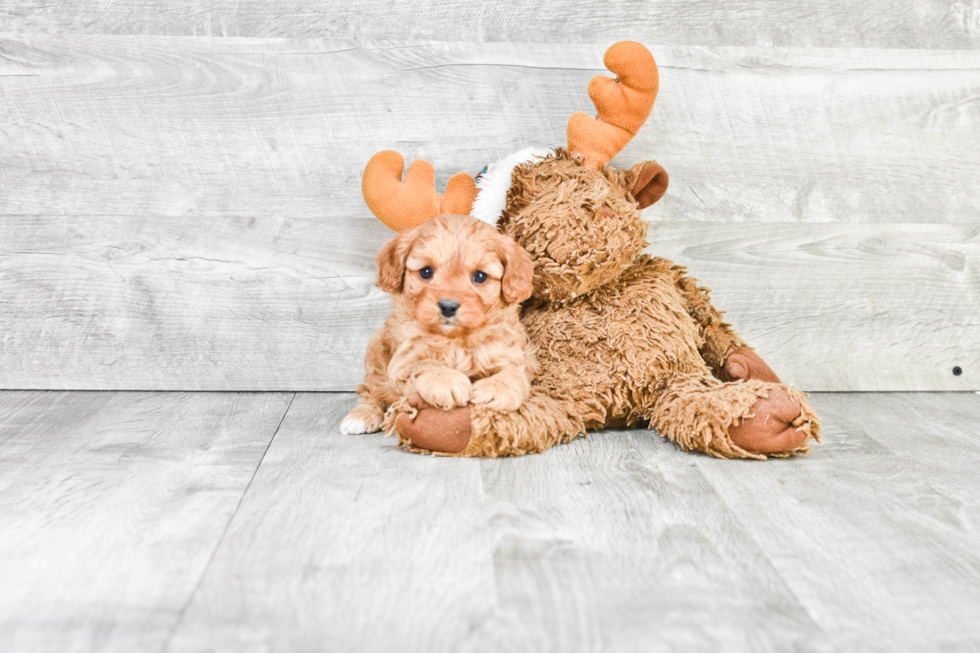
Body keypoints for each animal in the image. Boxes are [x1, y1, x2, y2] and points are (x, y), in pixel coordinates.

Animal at [336, 214, 536, 436]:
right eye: (426, 272)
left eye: (480, 276)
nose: (448, 306)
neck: (456, 340)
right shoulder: (403, 361)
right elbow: (425, 364)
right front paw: (446, 380)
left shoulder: (512, 354)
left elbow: (515, 374)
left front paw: (495, 389)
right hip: (375, 352)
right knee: (372, 392)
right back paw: (360, 416)